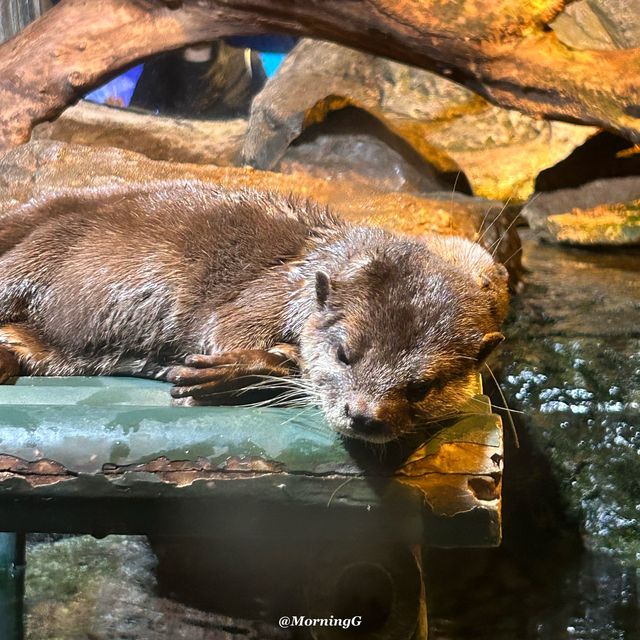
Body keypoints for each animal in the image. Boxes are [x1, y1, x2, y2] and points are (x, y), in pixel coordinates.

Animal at [0, 180, 510, 440]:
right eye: (345, 355)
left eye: (421, 387)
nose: (365, 414)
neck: (314, 262)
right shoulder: (268, 294)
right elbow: (230, 330)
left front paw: (231, 373)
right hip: (37, 253)